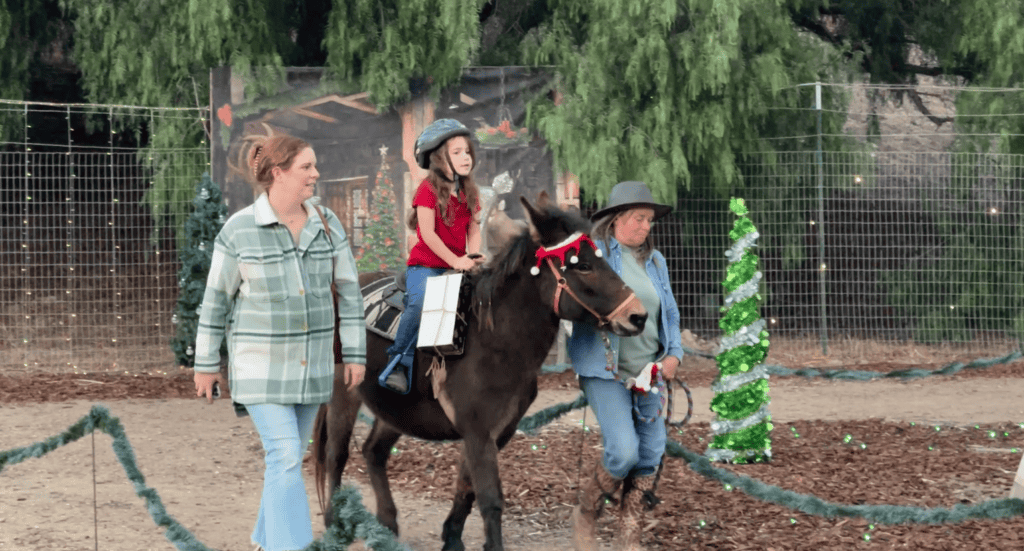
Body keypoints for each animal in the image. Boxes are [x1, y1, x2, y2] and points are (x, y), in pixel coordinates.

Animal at [309, 192, 647, 548]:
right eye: (582, 265)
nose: (638, 317)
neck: (492, 340)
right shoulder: (477, 429)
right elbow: (489, 497)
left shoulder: (495, 431)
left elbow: (467, 487)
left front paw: (452, 537)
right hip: (343, 394)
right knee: (335, 454)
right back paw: (334, 521)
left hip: (394, 409)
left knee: (373, 451)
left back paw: (387, 522)